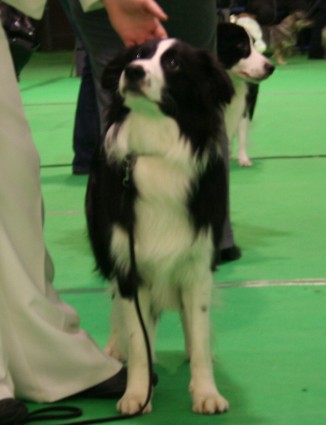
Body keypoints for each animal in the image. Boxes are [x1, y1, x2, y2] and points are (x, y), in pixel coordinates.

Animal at [86, 37, 234, 414]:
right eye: (139, 55)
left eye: (175, 64)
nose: (132, 71)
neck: (158, 150)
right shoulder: (128, 264)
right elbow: (139, 340)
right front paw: (137, 395)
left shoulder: (198, 262)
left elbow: (199, 329)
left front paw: (207, 392)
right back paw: (116, 347)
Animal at [218, 22, 274, 166]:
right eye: (241, 45)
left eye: (253, 44)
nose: (271, 67)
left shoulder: (243, 107)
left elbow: (242, 136)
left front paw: (244, 160)